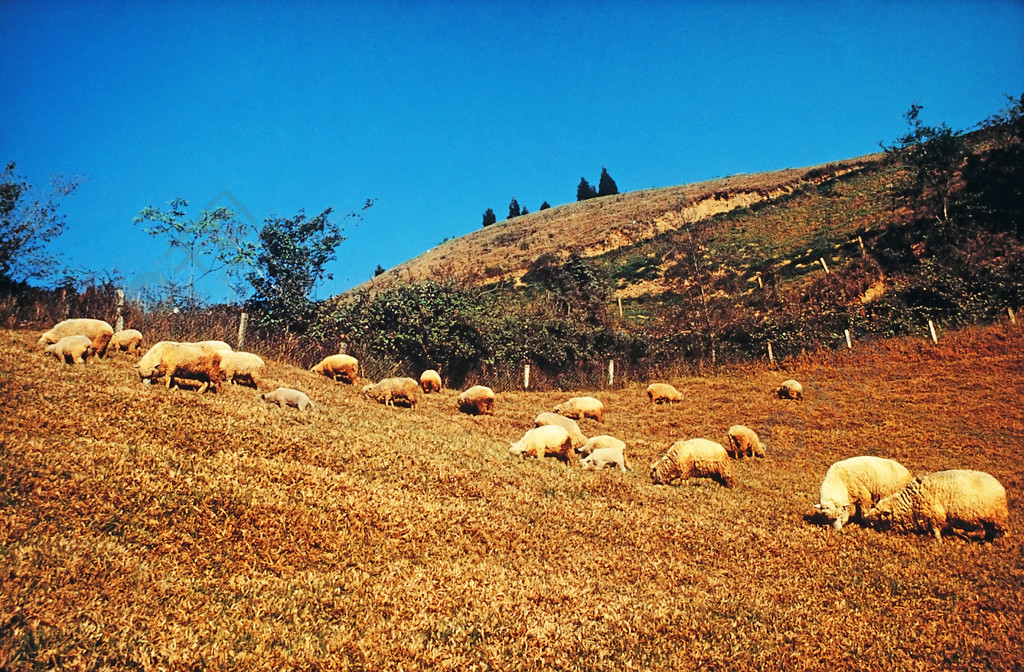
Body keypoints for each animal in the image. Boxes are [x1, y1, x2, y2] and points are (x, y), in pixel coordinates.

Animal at [864, 469, 1007, 544]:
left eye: (880, 515)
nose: (866, 519)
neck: (911, 501)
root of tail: (999, 486)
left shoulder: (935, 515)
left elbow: (936, 530)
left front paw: (939, 542)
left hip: (998, 518)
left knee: (1003, 533)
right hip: (986, 520)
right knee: (987, 532)